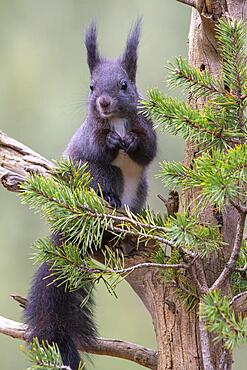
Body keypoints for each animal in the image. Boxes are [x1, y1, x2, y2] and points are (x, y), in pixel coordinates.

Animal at [24, 19, 156, 370]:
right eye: (92, 87)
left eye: (125, 84)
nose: (104, 103)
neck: (118, 122)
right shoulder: (89, 137)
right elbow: (96, 147)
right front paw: (111, 143)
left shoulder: (147, 126)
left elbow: (147, 150)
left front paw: (132, 143)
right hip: (97, 175)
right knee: (104, 179)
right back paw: (110, 203)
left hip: (140, 188)